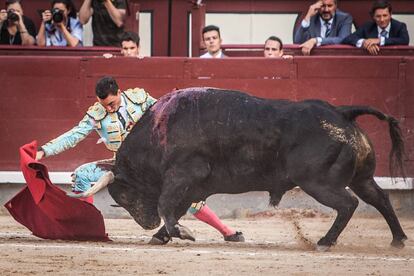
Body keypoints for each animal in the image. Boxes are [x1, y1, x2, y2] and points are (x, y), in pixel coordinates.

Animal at [107, 87, 408, 249]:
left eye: (123, 195)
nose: (146, 223)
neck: (159, 131)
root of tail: (341, 112)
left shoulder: (182, 177)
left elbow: (166, 205)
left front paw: (177, 233)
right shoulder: (191, 187)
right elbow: (176, 209)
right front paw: (162, 236)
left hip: (319, 183)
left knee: (348, 204)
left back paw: (325, 241)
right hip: (361, 178)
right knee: (379, 198)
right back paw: (398, 240)